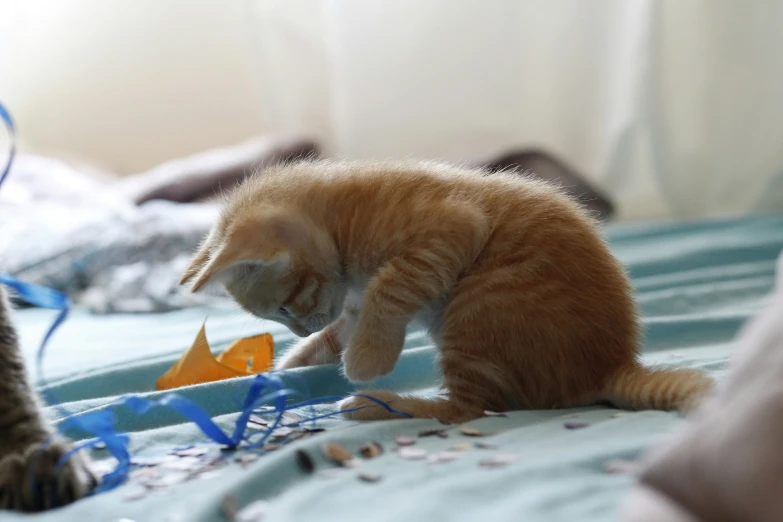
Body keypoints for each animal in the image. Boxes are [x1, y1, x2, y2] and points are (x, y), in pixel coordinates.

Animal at [179, 159, 716, 422]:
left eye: (286, 306)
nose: (295, 328)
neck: (341, 218)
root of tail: (611, 365)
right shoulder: (350, 302)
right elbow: (338, 330)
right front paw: (289, 363)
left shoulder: (452, 226)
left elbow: (391, 289)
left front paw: (366, 359)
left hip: (478, 309)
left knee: (468, 408)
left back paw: (380, 404)